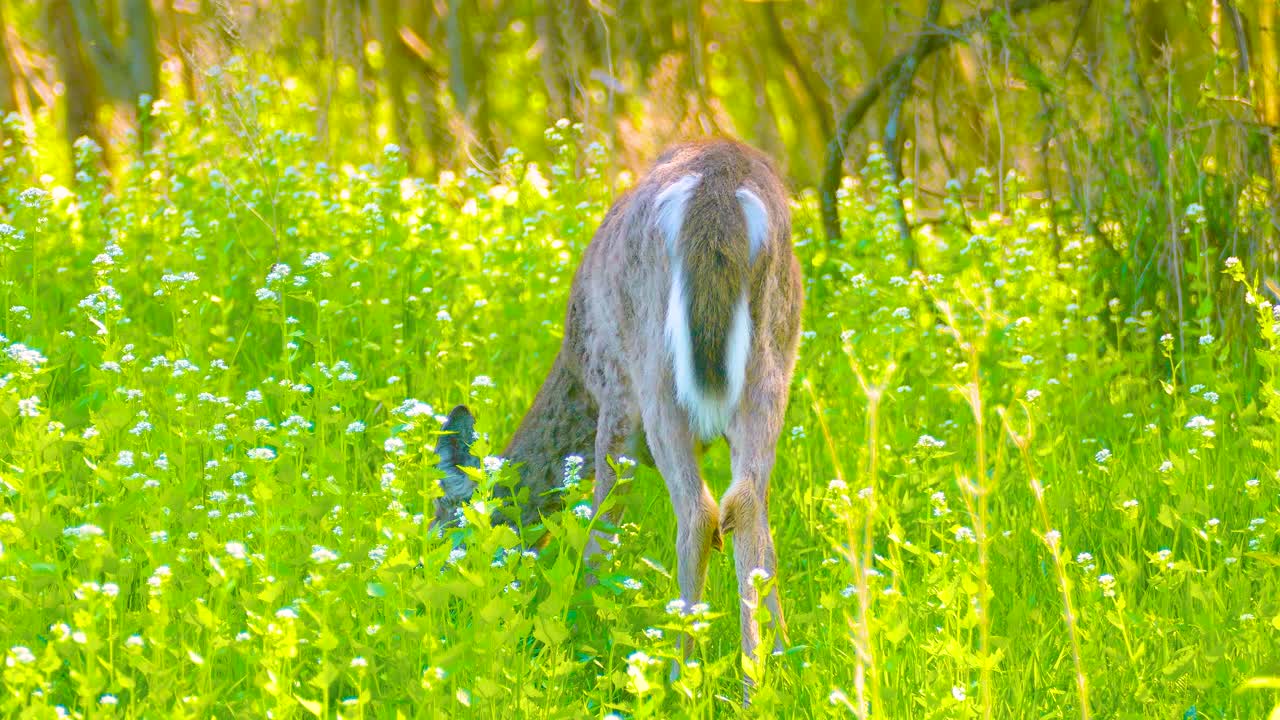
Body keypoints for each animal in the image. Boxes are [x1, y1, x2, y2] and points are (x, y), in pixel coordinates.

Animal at [432, 139, 803, 675]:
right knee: (746, 505)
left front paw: (574, 633)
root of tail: (718, 195)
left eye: (443, 521)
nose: (436, 599)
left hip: (654, 372)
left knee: (698, 513)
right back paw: (762, 674)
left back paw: (679, 672)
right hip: (770, 368)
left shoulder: (613, 397)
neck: (577, 378)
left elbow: (600, 528)